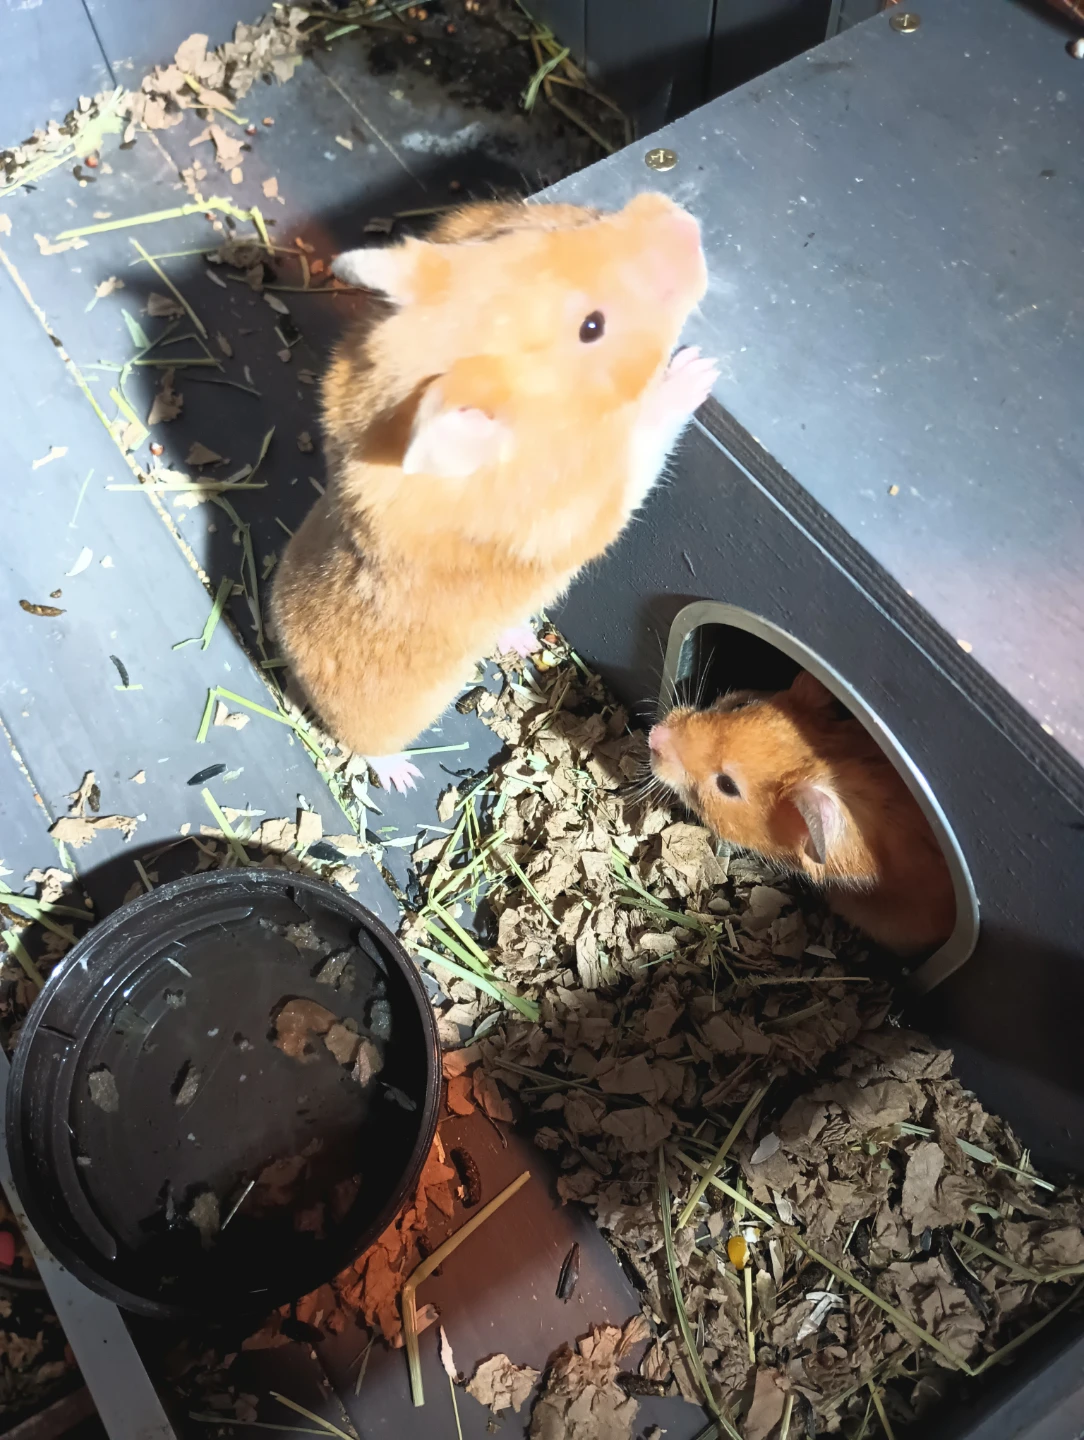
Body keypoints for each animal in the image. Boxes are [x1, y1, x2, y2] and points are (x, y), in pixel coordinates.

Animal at [270, 193, 716, 792]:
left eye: (554, 225)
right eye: (591, 327)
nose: (681, 218)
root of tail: (285, 660)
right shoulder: (596, 501)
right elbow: (647, 432)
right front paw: (697, 368)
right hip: (380, 721)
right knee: (365, 746)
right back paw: (403, 777)